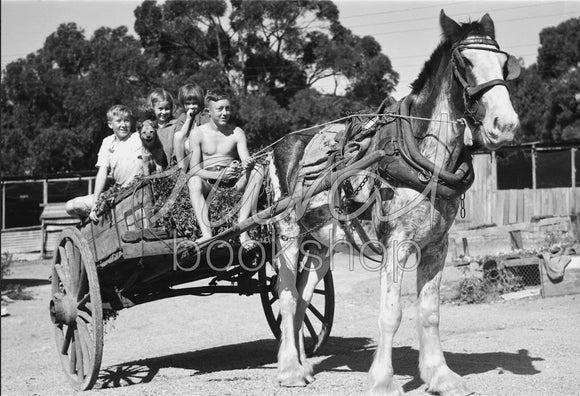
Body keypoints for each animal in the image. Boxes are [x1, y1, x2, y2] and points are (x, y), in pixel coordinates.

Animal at [268, 10, 520, 394]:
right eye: (465, 62)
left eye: (504, 64)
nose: (505, 124)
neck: (420, 157)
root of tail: (281, 144)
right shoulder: (397, 243)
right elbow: (391, 313)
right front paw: (383, 380)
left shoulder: (437, 246)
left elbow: (430, 312)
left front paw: (440, 375)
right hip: (288, 235)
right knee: (287, 298)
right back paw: (289, 369)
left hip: (320, 245)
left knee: (303, 299)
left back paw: (303, 364)